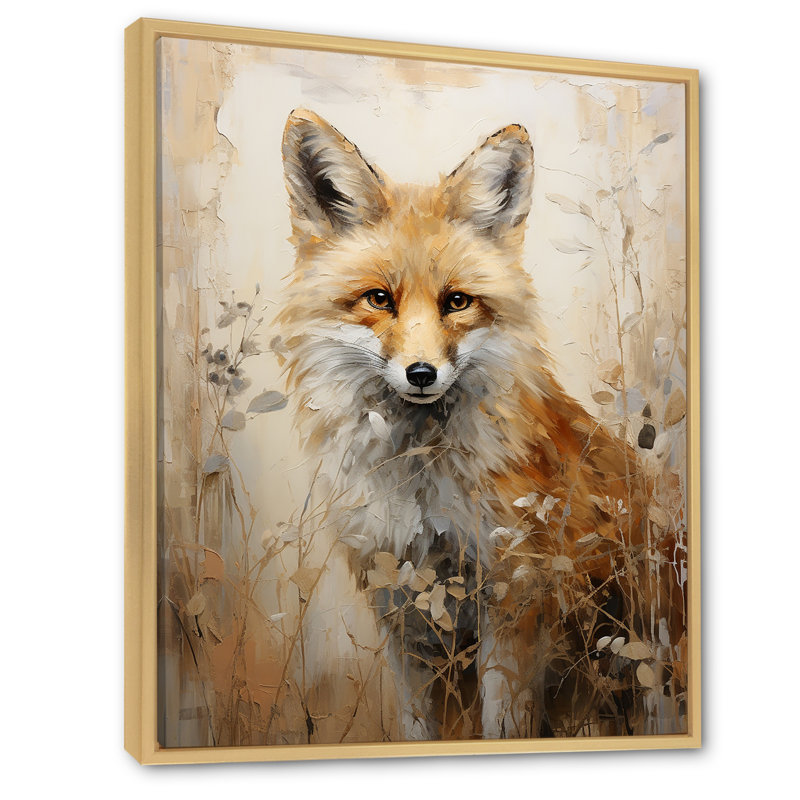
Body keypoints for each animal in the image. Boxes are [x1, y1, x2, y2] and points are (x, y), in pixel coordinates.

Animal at [277, 109, 684, 741]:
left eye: (457, 302)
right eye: (379, 299)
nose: (422, 373)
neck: (421, 486)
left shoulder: (513, 599)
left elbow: (504, 724)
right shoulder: (401, 607)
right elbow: (416, 725)